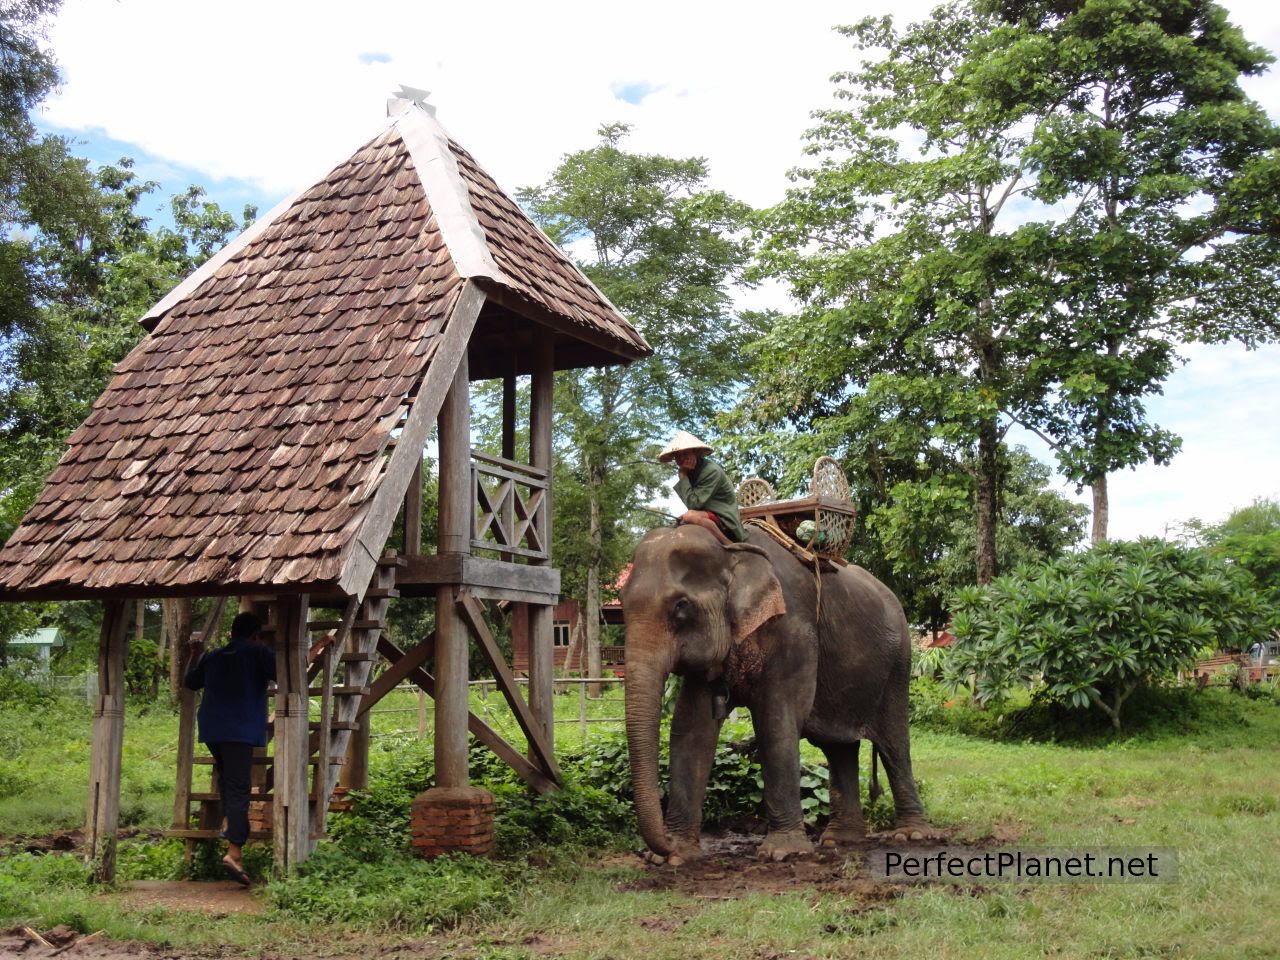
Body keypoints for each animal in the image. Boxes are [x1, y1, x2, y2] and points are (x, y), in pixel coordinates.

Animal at [622, 527, 931, 865]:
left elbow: (777, 720)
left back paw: (911, 835)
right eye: (620, 606)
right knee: (839, 747)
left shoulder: (793, 630)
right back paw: (839, 840)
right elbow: (692, 728)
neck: (730, 549)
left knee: (893, 743)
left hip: (898, 663)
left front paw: (782, 852)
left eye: (681, 606)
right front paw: (676, 856)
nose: (663, 845)